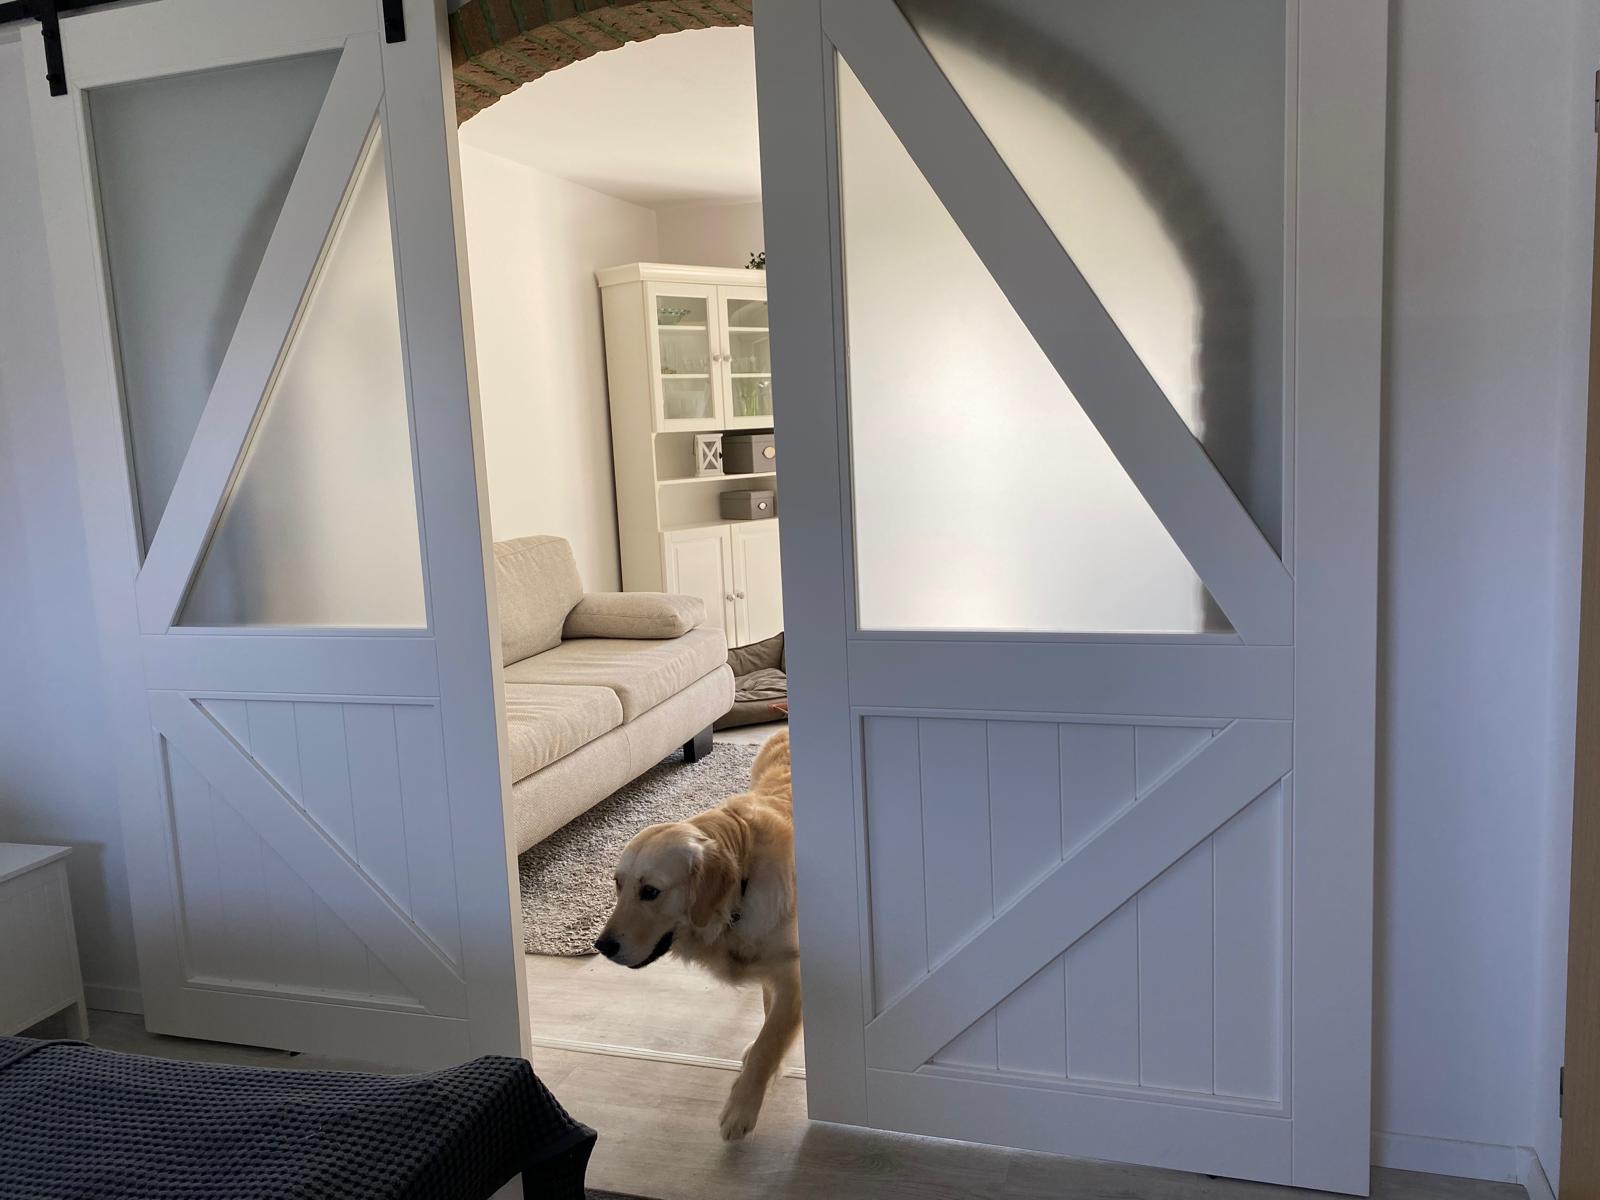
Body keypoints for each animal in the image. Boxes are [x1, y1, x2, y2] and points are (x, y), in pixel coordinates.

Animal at [594, 729, 799, 1140]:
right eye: (618, 884)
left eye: (650, 891)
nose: (602, 946)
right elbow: (769, 1023)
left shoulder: (795, 973)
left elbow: (771, 1040)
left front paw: (741, 1107)